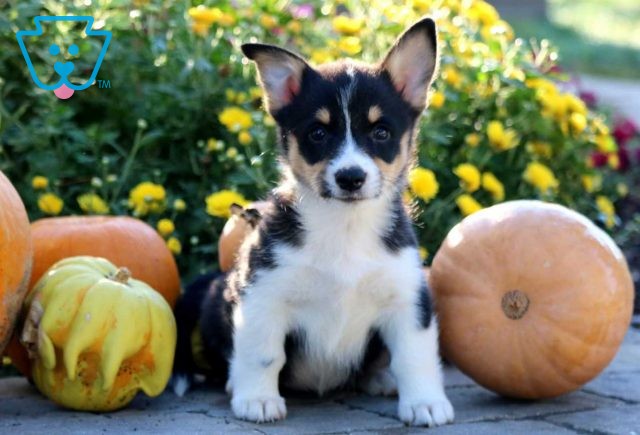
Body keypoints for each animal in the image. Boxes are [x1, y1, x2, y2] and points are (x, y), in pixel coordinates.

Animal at [175, 17, 452, 430]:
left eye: (381, 132)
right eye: (318, 133)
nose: (350, 178)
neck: (345, 227)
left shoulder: (407, 297)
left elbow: (414, 357)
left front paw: (425, 403)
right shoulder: (263, 293)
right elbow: (263, 353)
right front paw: (257, 400)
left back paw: (380, 379)